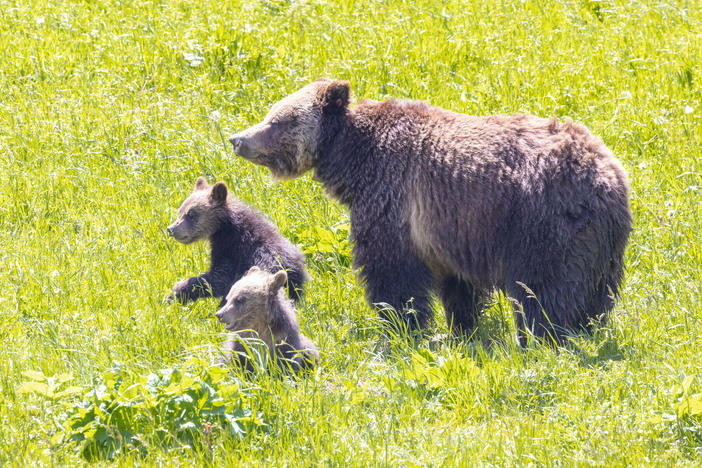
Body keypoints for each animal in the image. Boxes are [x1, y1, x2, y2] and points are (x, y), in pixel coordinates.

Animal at [168, 177, 310, 306]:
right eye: (180, 211)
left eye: (191, 214)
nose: (171, 229)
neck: (224, 227)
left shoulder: (233, 249)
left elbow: (218, 278)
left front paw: (176, 292)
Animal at [230, 79, 632, 344]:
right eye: (269, 113)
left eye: (276, 121)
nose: (237, 139)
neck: (353, 158)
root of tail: (609, 176)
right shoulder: (452, 229)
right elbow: (458, 286)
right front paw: (462, 329)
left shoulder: (392, 199)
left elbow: (392, 274)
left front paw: (401, 328)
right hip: (601, 245)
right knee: (594, 293)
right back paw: (583, 328)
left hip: (542, 224)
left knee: (543, 289)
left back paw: (540, 337)